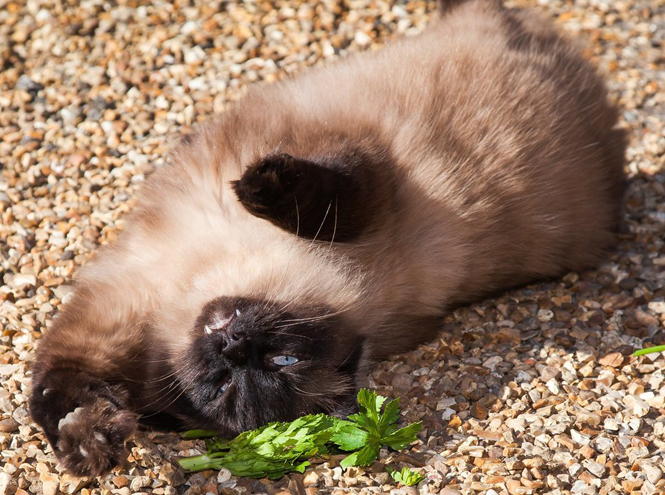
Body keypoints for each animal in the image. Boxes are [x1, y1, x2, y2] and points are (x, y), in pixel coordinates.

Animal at [28, 0, 624, 478]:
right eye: (222, 382)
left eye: (281, 361)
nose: (234, 345)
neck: (196, 281)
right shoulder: (109, 317)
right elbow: (50, 397)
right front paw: (90, 443)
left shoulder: (360, 184)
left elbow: (315, 193)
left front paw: (257, 184)